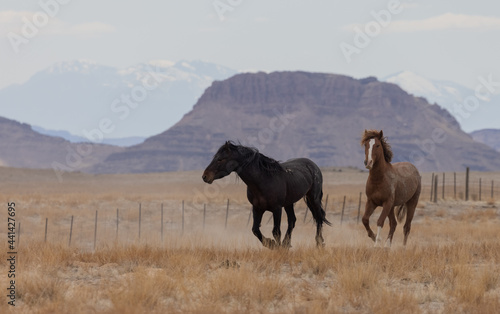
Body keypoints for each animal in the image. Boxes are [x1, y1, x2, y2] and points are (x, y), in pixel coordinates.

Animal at [201, 141, 330, 249]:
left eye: (220, 159)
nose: (205, 176)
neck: (263, 180)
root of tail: (313, 165)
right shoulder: (257, 208)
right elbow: (255, 230)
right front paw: (271, 244)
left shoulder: (277, 209)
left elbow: (276, 231)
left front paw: (277, 248)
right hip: (289, 203)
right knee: (292, 220)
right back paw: (286, 244)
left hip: (313, 198)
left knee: (319, 218)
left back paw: (319, 243)